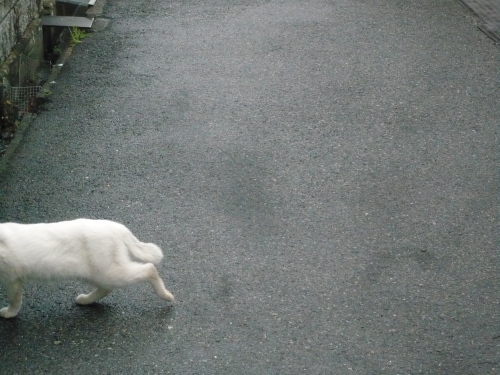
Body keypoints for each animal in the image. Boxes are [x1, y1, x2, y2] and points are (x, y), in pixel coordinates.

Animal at [0, 219, 176, 318]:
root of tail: (118, 227)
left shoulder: (12, 278)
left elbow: (14, 300)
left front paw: (9, 314)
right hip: (92, 274)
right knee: (106, 289)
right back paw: (85, 300)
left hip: (110, 273)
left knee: (149, 269)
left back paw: (166, 295)